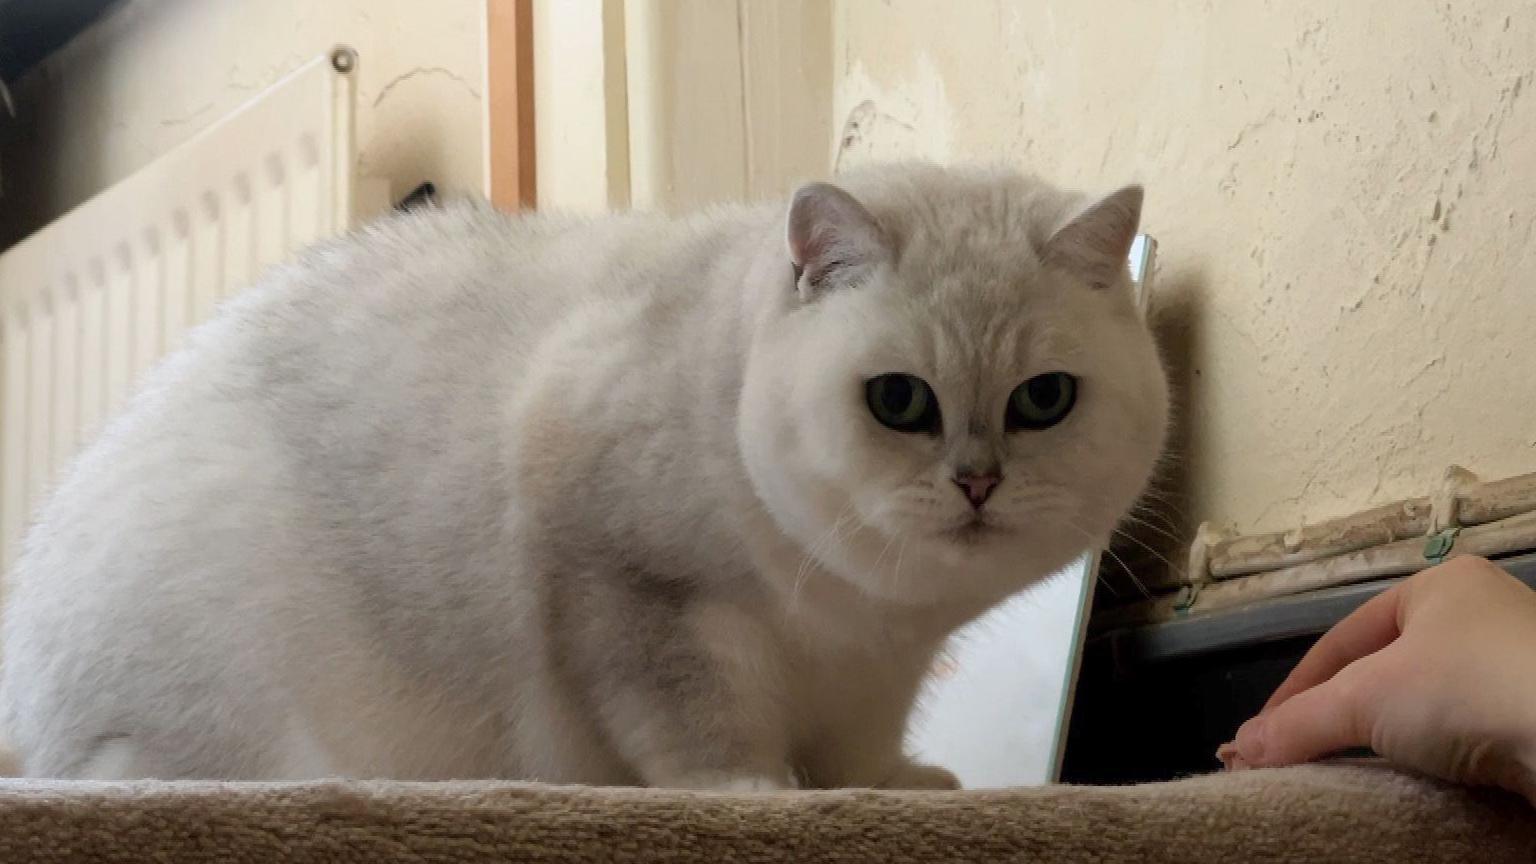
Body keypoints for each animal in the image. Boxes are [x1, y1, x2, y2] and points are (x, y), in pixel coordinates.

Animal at [0, 162, 1161, 787]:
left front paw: (889, 788)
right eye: (901, 403)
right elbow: (697, 724)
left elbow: (863, 746)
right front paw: (758, 791)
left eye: (1044, 402)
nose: (978, 484)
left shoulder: (884, 666)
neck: (855, 611)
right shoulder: (634, 593)